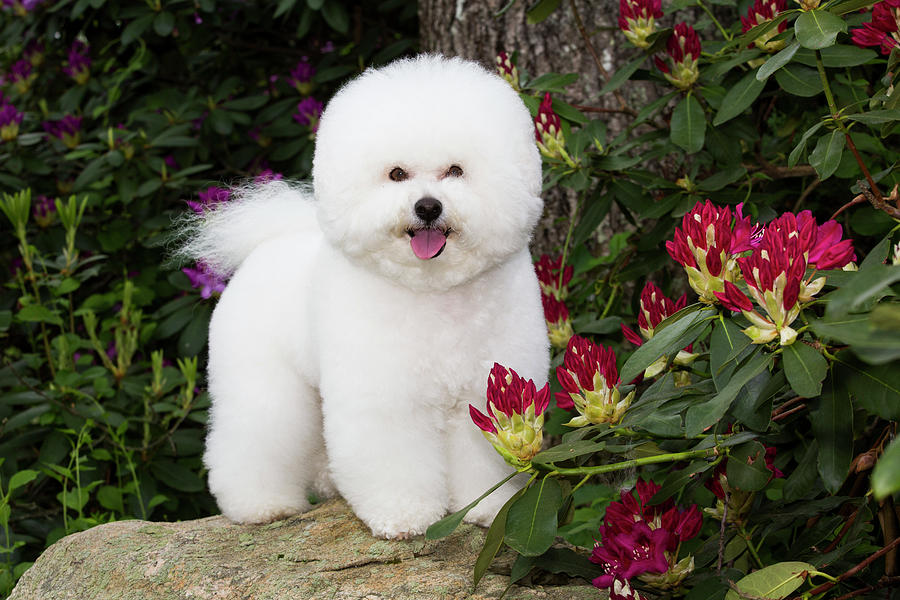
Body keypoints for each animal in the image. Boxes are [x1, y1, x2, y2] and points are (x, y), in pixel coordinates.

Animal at [181, 54, 548, 536]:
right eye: (396, 174)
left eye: (455, 171)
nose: (427, 207)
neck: (433, 291)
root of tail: (267, 244)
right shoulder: (385, 396)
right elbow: (391, 455)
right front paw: (403, 515)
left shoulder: (483, 393)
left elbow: (483, 461)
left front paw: (486, 508)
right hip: (263, 382)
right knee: (253, 436)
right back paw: (262, 505)